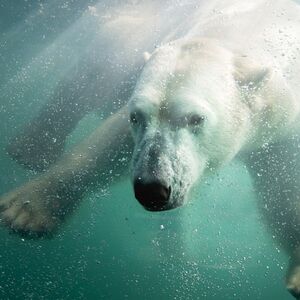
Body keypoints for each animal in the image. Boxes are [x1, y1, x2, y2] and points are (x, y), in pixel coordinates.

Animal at [0, 0, 300, 296]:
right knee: (91, 77)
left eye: (196, 118)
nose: (152, 189)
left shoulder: (280, 127)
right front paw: (26, 210)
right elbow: (109, 145)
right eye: (137, 117)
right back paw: (30, 149)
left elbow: (282, 194)